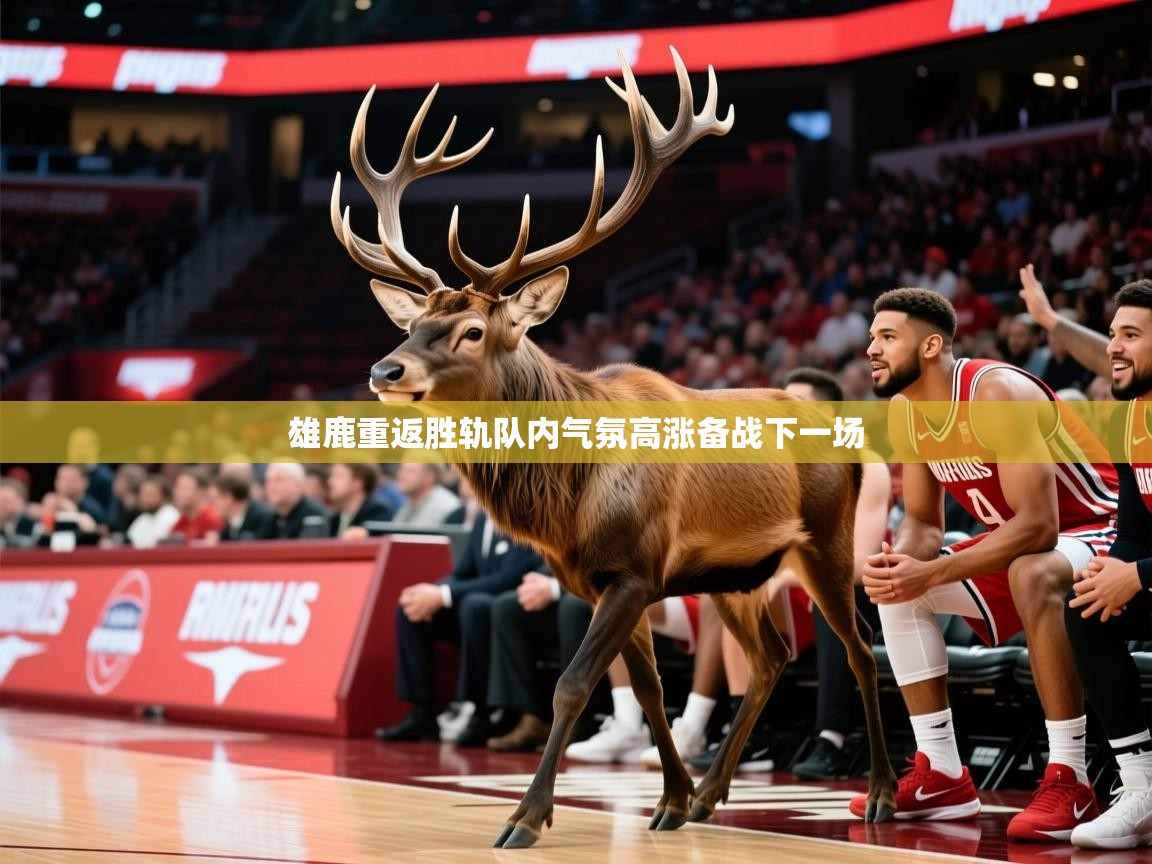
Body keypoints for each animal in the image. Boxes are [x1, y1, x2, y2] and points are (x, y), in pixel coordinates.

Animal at [331, 48, 897, 849]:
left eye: (473, 330)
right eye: (412, 325)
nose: (385, 370)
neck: (568, 495)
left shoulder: (632, 571)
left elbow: (573, 685)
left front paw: (526, 816)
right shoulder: (613, 579)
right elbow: (655, 690)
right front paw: (670, 799)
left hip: (828, 540)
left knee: (858, 650)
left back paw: (879, 793)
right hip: (738, 575)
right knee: (773, 658)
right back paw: (712, 794)